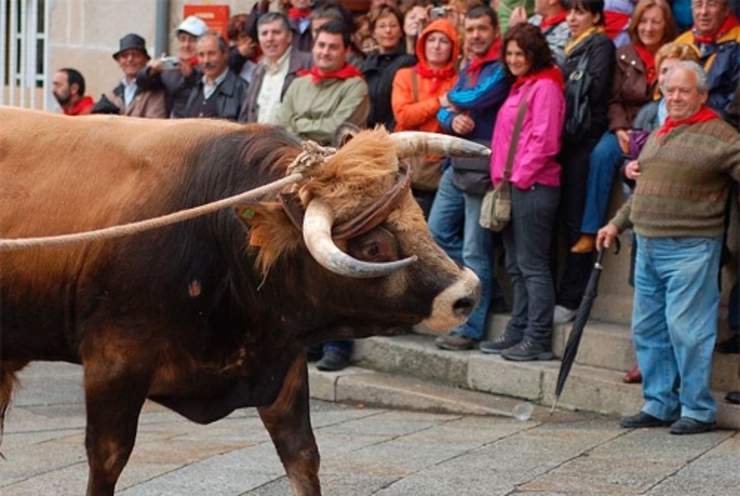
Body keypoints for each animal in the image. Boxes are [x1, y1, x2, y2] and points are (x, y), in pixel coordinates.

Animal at [0, 106, 482, 494]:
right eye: (373, 246)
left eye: (417, 215)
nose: (466, 295)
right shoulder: (113, 363)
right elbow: (107, 459)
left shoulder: (282, 362)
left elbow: (302, 455)